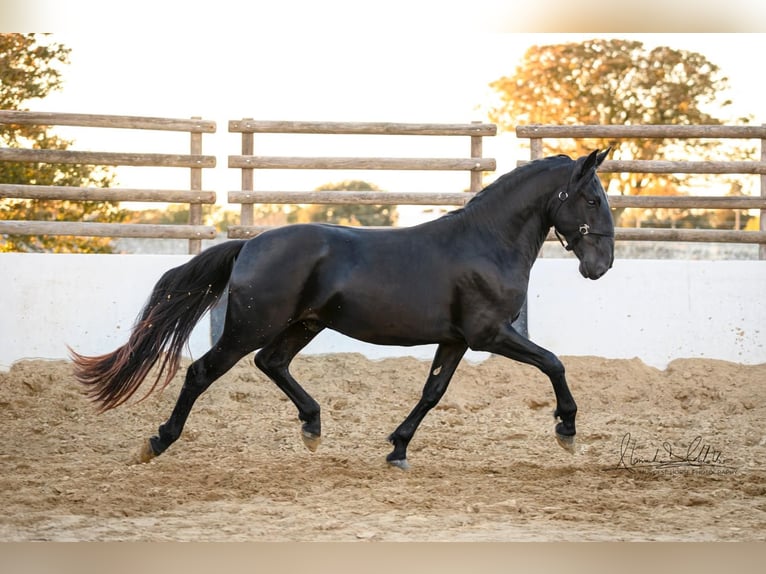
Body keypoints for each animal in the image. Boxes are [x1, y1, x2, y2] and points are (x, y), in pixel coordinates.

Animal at [69, 150, 616, 472]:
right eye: (591, 198)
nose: (602, 266)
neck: (485, 244)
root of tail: (250, 244)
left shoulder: (456, 339)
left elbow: (433, 393)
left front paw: (397, 449)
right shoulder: (488, 334)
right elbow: (553, 363)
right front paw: (567, 430)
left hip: (304, 324)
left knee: (272, 363)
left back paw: (312, 427)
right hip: (252, 326)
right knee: (204, 371)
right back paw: (158, 441)